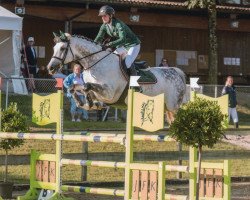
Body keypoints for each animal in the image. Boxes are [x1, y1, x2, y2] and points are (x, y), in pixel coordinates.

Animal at [47, 32, 187, 123]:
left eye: (63, 48)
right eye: (54, 48)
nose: (50, 68)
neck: (96, 63)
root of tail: (175, 72)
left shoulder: (109, 93)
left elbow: (87, 86)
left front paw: (90, 102)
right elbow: (75, 87)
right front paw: (84, 102)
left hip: (173, 106)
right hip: (166, 107)